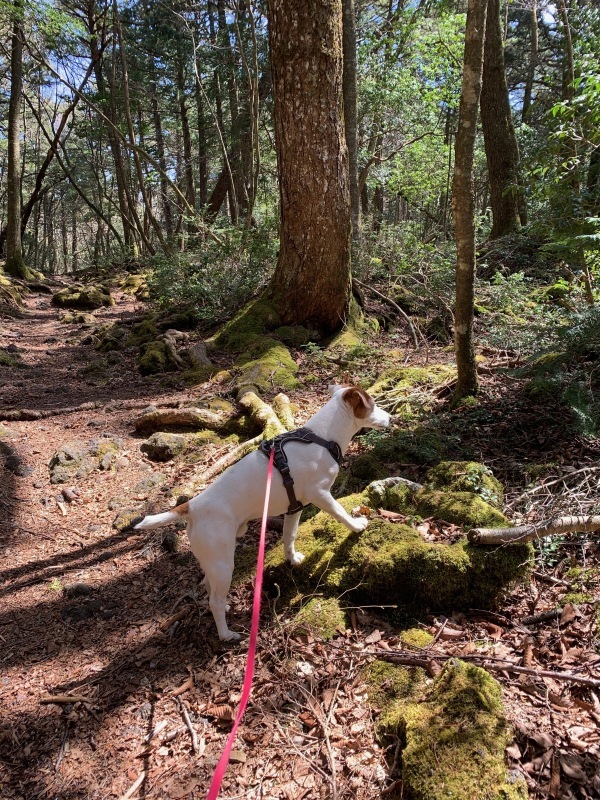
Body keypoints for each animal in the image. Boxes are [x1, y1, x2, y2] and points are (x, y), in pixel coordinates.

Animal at [134, 384, 392, 640]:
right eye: (372, 404)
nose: (390, 418)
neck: (323, 438)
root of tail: (192, 507)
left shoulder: (294, 508)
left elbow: (289, 537)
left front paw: (292, 559)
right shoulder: (320, 495)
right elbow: (340, 513)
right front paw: (357, 525)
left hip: (213, 561)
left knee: (209, 588)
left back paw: (225, 607)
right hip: (223, 563)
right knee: (214, 601)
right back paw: (226, 634)